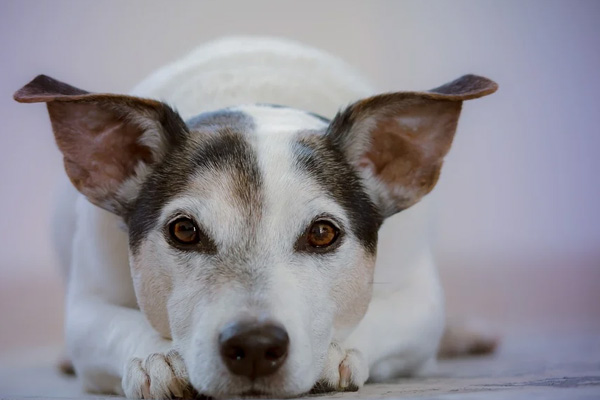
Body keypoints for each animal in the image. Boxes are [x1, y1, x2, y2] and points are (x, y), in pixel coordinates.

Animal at [16, 36, 500, 396]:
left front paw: (335, 352)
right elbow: (115, 325)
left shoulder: (420, 301)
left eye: (322, 233)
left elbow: (380, 317)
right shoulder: (87, 305)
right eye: (184, 230)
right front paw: (158, 358)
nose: (253, 346)